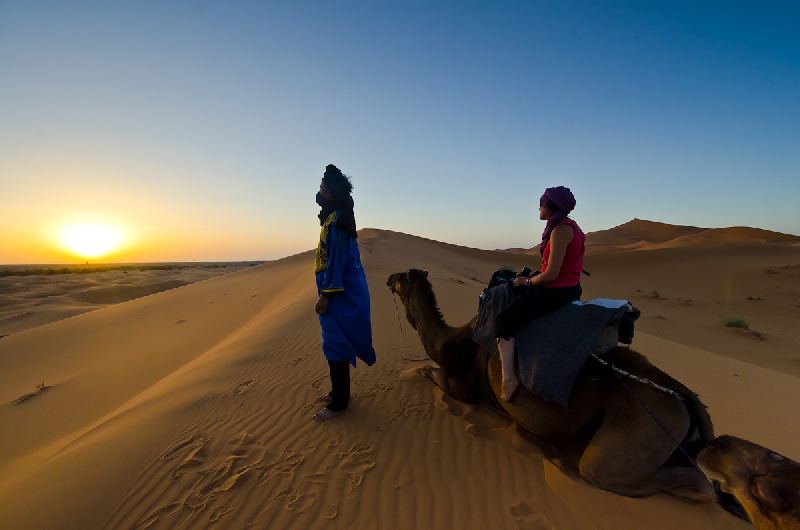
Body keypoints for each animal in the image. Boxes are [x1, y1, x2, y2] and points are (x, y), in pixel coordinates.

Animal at [388, 268, 720, 500]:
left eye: (402, 276)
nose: (389, 277)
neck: (449, 340)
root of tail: (682, 395)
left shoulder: (462, 386)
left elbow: (430, 373)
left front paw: (417, 371)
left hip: (639, 431)